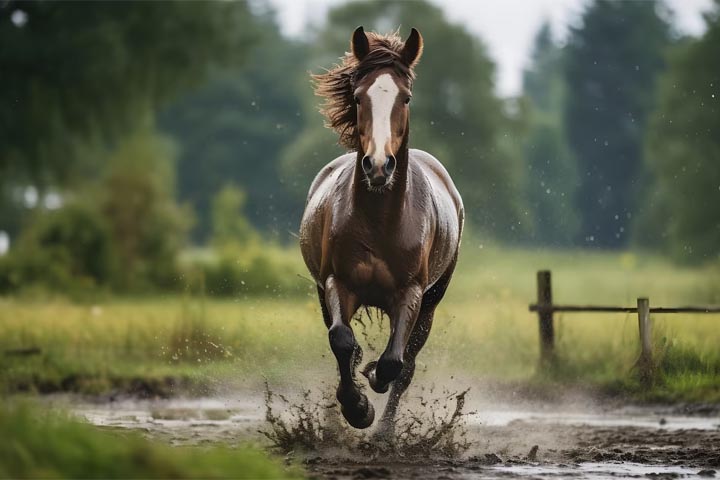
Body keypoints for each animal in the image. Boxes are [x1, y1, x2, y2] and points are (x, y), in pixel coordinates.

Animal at [300, 24, 464, 434]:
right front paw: (357, 409)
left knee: (406, 365)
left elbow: (394, 363)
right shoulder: (336, 283)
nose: (378, 165)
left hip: (431, 302)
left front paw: (372, 384)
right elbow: (342, 342)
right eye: (359, 98)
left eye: (405, 98)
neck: (379, 222)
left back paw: (384, 435)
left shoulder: (411, 294)